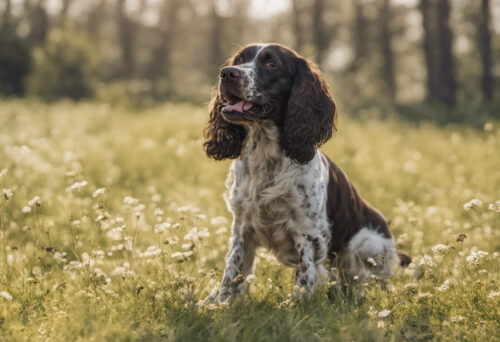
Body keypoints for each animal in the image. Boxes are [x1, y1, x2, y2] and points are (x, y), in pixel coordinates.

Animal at [203, 43, 410, 302]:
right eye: (239, 60)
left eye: (271, 63)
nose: (227, 73)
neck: (266, 156)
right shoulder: (243, 225)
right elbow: (233, 271)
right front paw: (220, 303)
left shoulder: (307, 231)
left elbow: (304, 277)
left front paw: (296, 306)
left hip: (368, 244)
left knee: (368, 279)